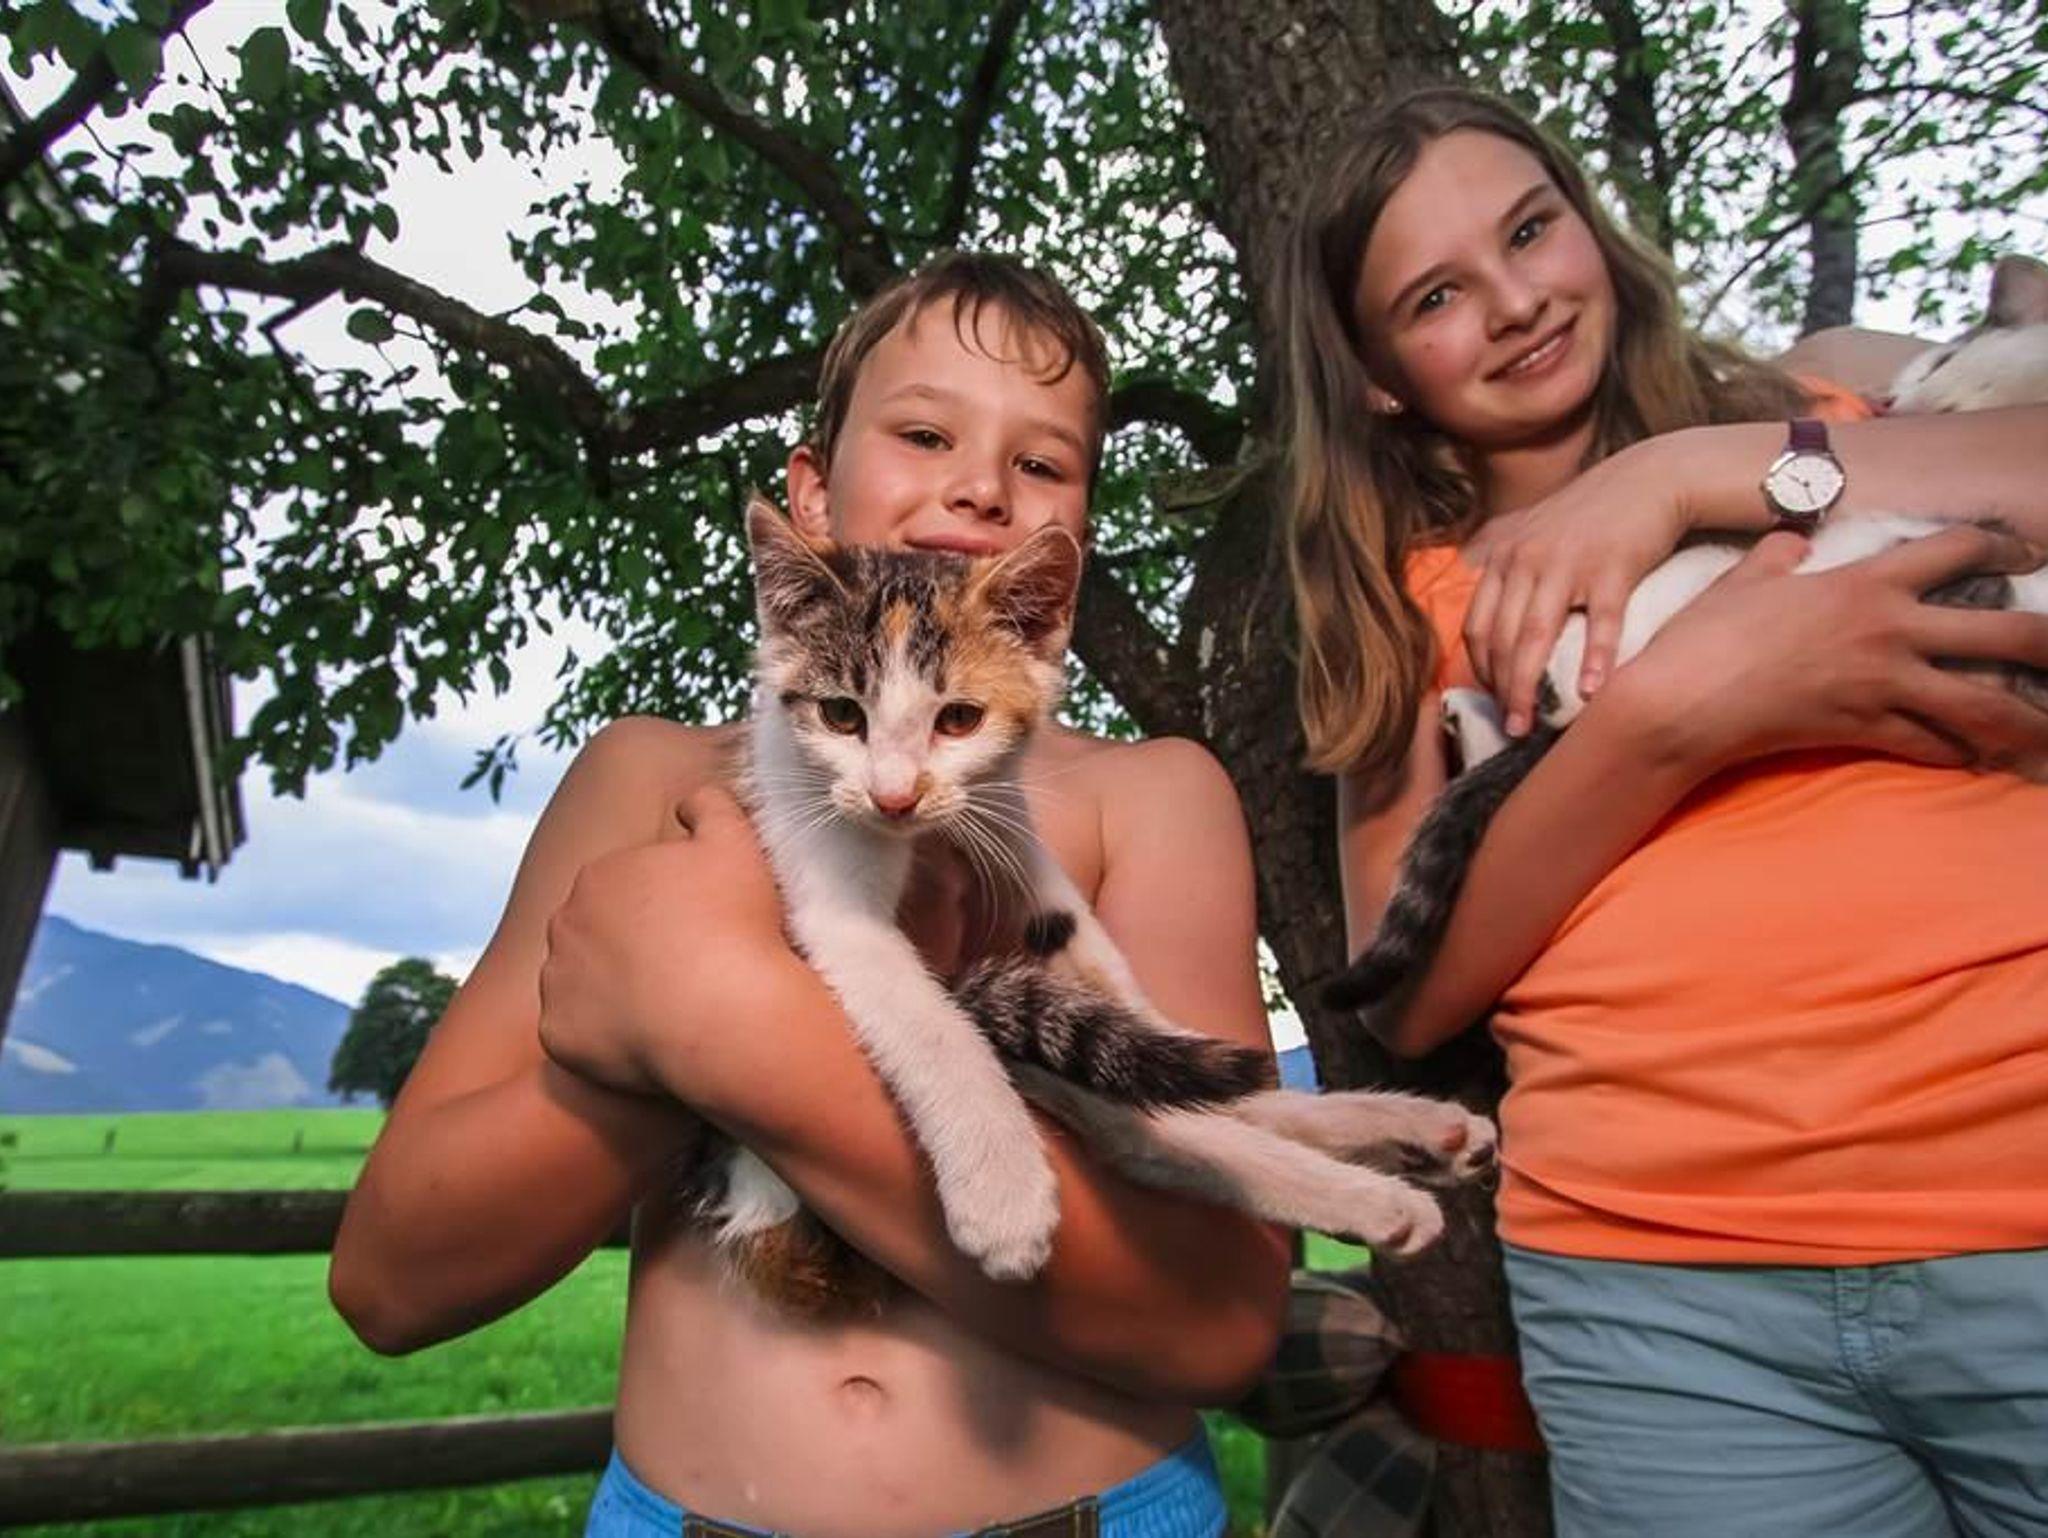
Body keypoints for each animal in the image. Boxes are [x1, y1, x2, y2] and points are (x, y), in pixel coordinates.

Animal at [697, 499, 1496, 1315]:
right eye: (840, 715)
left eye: (958, 719)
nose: (894, 797)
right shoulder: (827, 884)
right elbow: (933, 1027)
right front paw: (1004, 1196)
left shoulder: (1017, 837)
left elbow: (1100, 970)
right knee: (1146, 1134)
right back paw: (1382, 1194)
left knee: (1185, 1101)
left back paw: (1413, 1131)